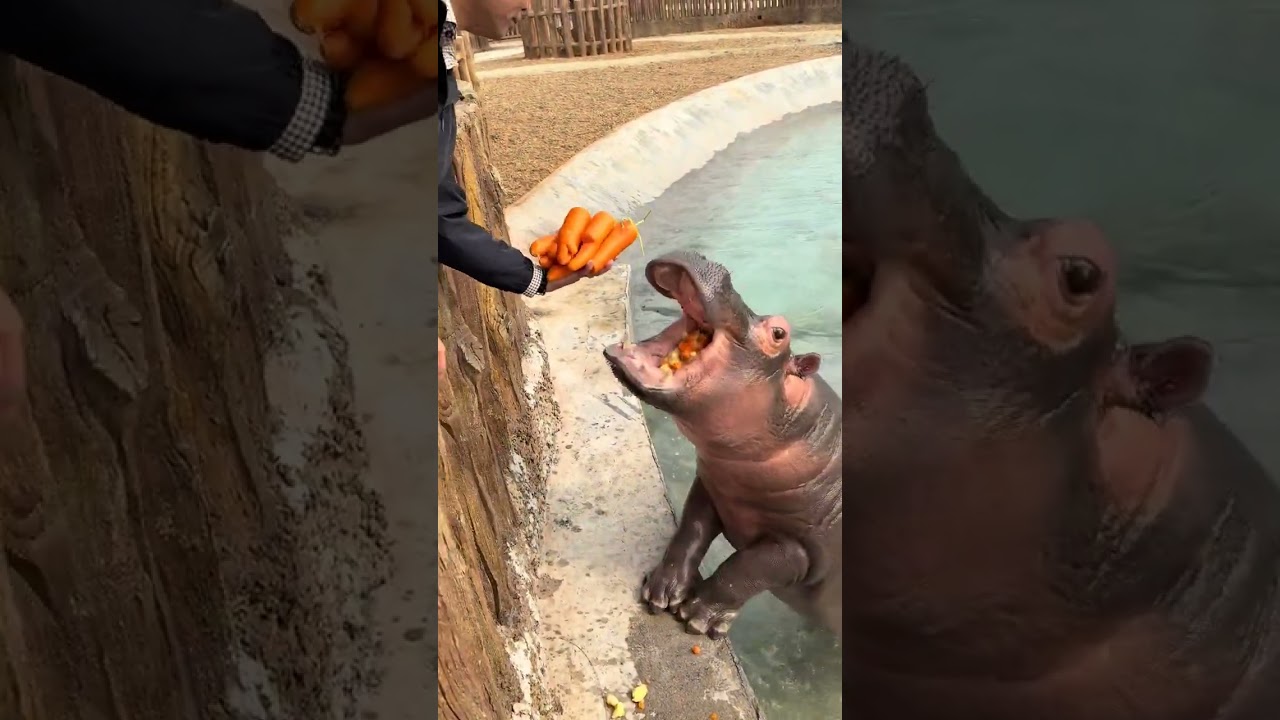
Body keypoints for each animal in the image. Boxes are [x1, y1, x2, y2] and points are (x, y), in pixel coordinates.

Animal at [603, 250, 842, 638]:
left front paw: (700, 617)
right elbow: (690, 530)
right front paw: (661, 591)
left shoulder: (802, 548)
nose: (701, 256)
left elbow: (746, 567)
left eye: (779, 332)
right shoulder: (712, 487)